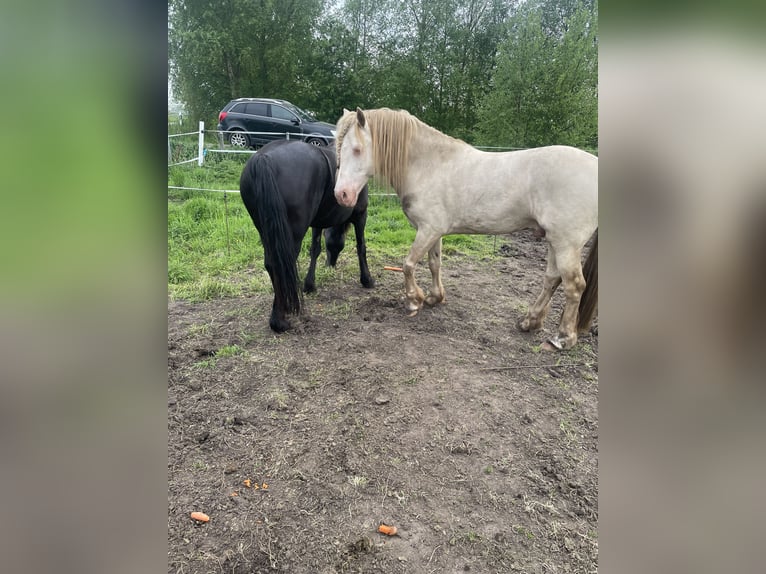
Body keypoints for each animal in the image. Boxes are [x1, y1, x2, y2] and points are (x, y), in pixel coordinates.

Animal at [238, 141, 374, 332]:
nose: (331, 265)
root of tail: (263, 157)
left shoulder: (317, 222)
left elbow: (315, 249)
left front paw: (310, 285)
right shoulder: (361, 215)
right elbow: (361, 247)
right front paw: (367, 279)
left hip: (266, 231)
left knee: (271, 264)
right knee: (282, 265)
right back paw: (279, 320)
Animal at [336, 108, 600, 352]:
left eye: (357, 149)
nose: (342, 195)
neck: (429, 165)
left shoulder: (428, 230)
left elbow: (408, 264)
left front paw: (414, 300)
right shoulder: (434, 231)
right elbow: (434, 264)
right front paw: (434, 297)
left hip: (566, 244)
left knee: (574, 285)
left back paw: (562, 338)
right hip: (554, 240)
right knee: (552, 279)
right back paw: (529, 321)